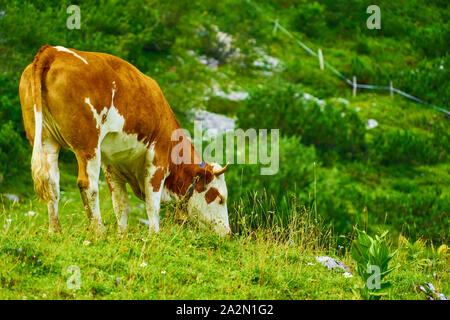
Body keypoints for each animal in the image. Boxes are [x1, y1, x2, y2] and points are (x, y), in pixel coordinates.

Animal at [18, 44, 230, 235]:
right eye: (220, 198)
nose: (227, 233)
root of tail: (52, 51)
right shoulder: (158, 159)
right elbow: (152, 204)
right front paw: (154, 234)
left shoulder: (112, 164)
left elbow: (121, 204)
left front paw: (121, 234)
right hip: (87, 143)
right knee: (88, 185)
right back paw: (98, 231)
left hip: (45, 139)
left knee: (51, 183)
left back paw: (55, 230)